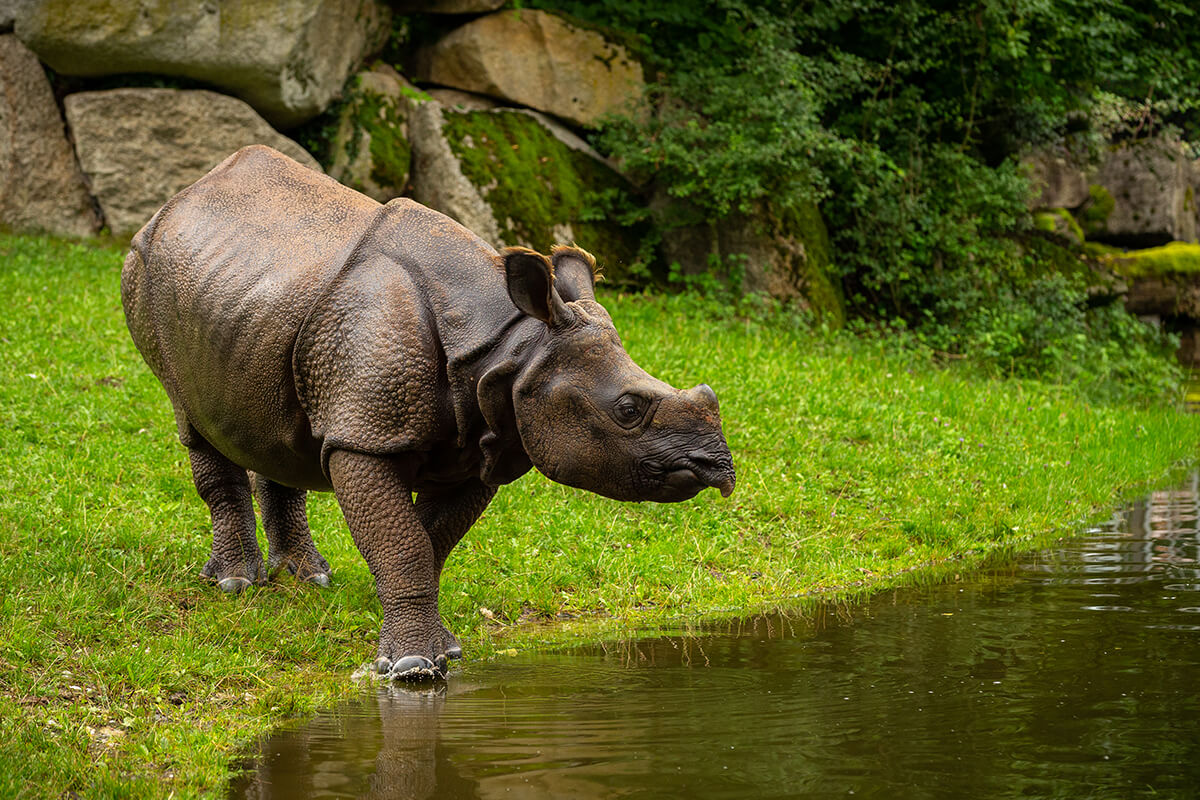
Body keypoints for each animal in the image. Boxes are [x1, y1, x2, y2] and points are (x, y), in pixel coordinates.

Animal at [122, 145, 735, 680]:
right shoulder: (365, 434)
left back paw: (308, 578)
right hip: (143, 271)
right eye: (628, 409)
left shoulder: (490, 438)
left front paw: (440, 649)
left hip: (250, 302)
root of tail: (181, 197)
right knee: (193, 421)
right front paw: (412, 668)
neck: (511, 347)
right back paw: (236, 585)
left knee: (274, 428)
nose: (720, 471)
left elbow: (430, 538)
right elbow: (405, 541)